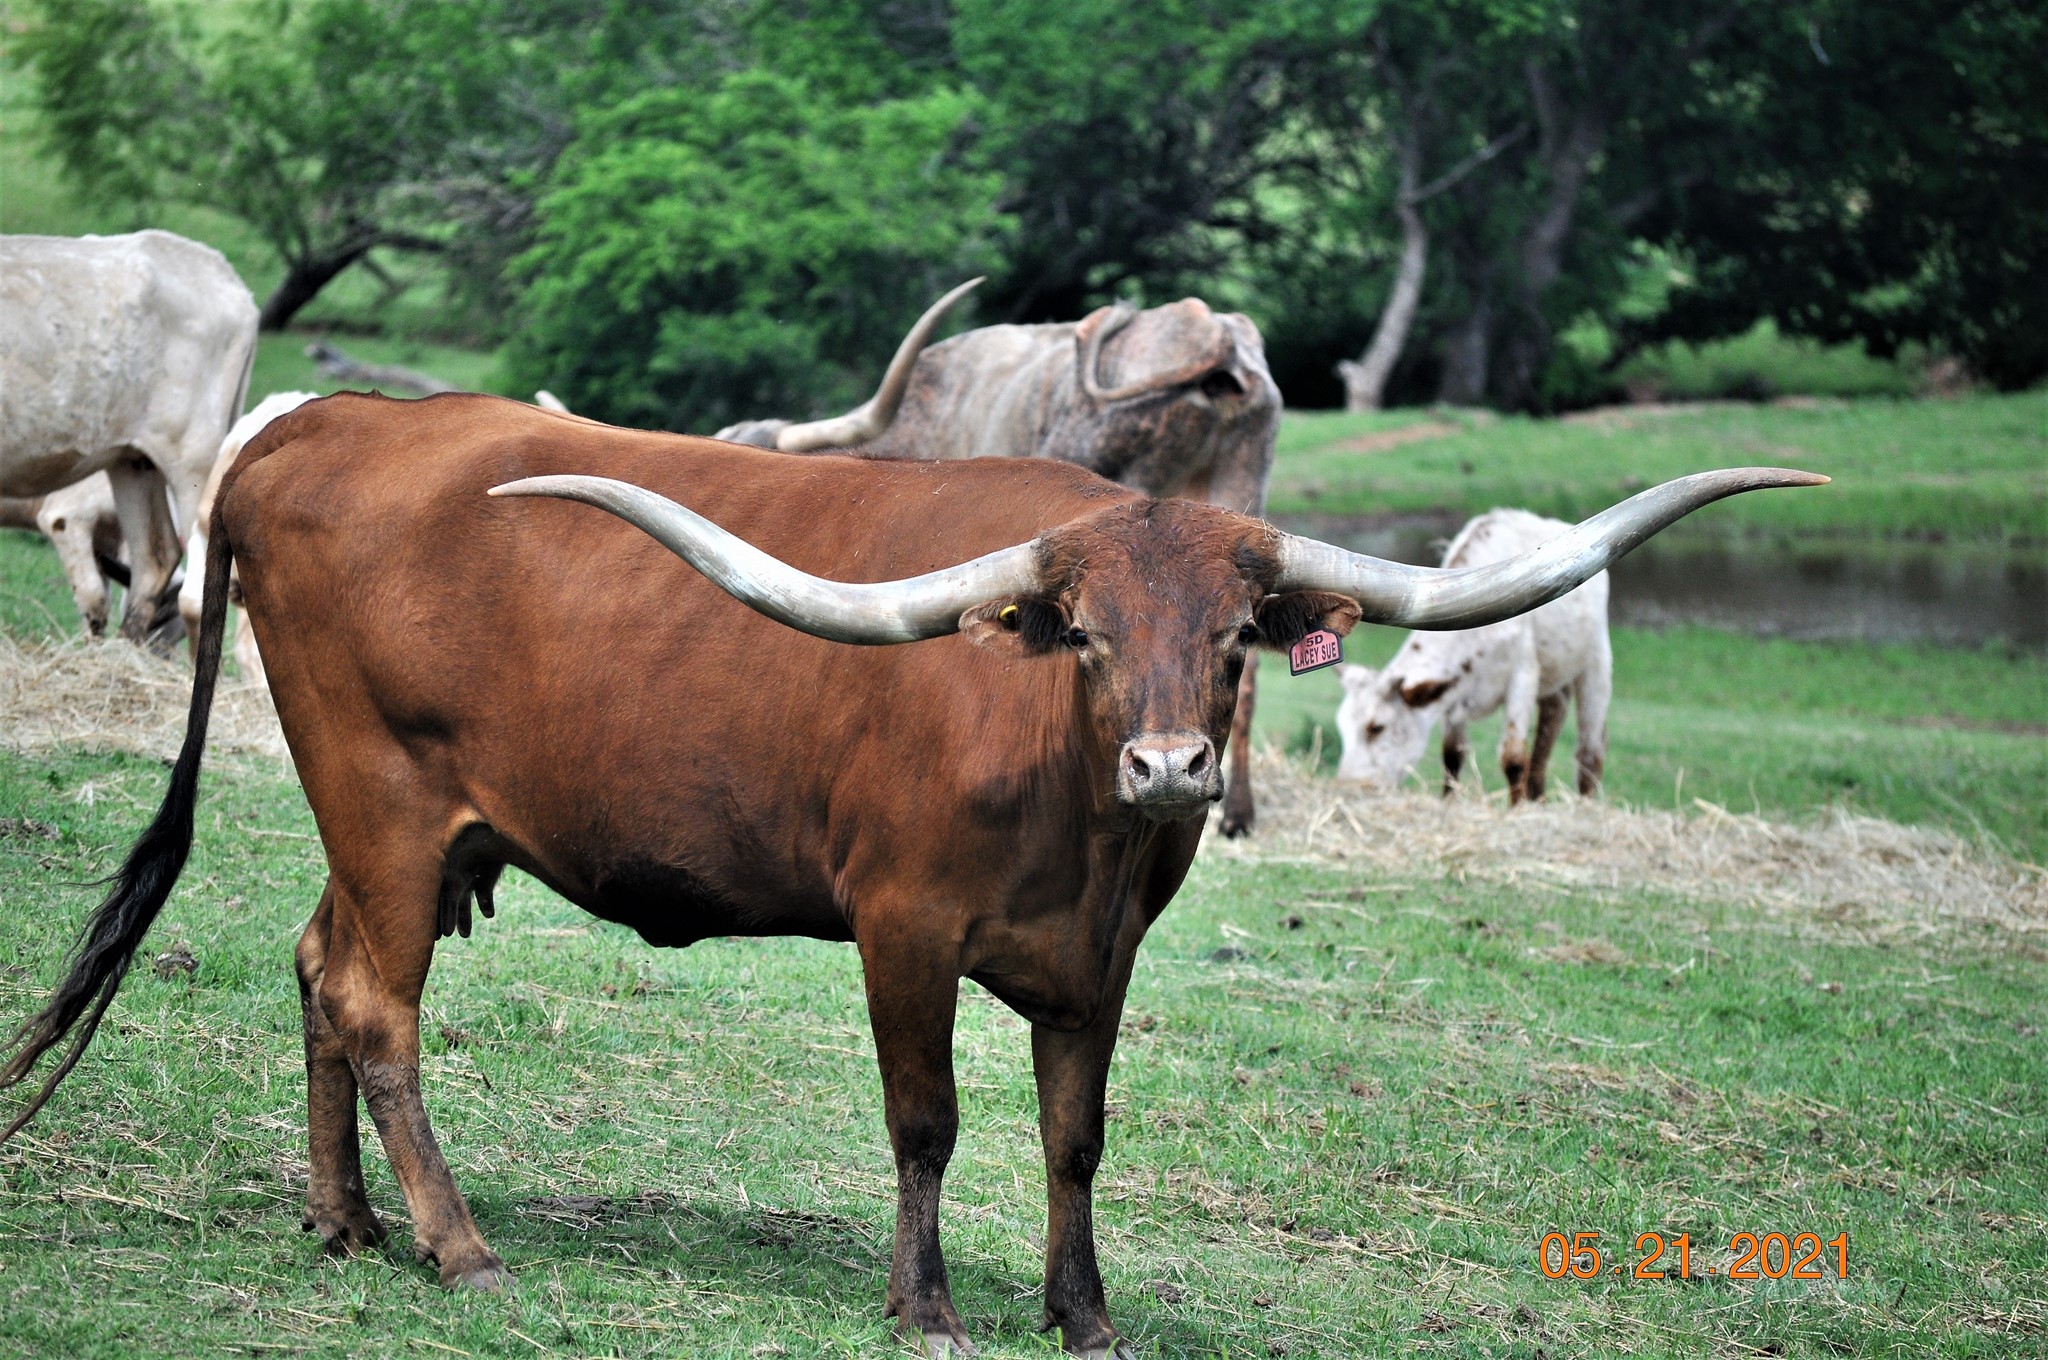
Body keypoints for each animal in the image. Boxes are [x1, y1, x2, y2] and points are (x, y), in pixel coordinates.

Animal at [1337, 509, 1613, 803]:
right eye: (1341, 725)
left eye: (1377, 727)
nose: (1350, 788)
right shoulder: (1454, 692)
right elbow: (1452, 754)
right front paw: (1449, 801)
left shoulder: (1522, 676)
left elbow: (1513, 758)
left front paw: (1517, 808)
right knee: (1551, 721)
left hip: (1596, 662)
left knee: (1589, 751)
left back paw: (1584, 802)